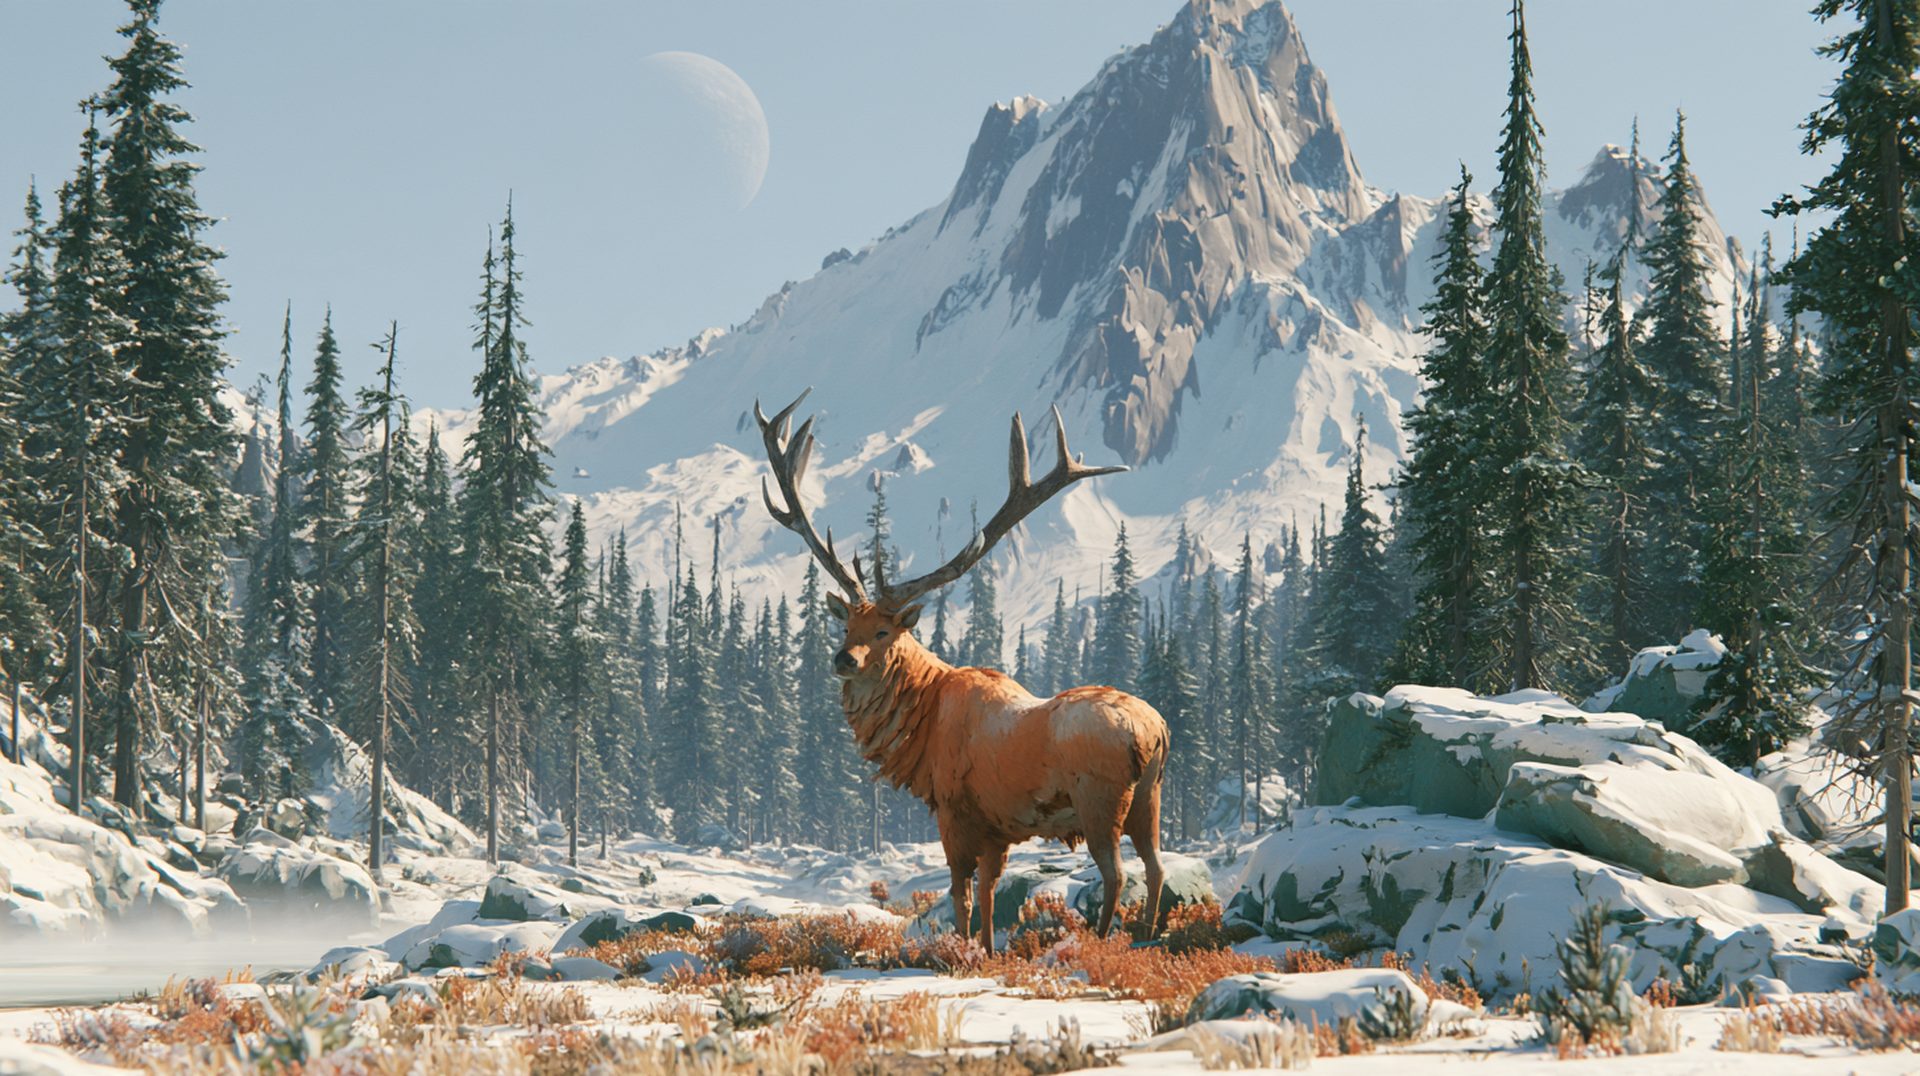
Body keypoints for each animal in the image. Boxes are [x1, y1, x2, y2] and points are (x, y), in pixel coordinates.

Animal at [753, 390, 1171, 952]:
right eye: (847, 626)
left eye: (884, 632)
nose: (844, 660)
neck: (923, 721)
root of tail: (1154, 732)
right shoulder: (998, 826)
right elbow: (991, 897)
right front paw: (991, 952)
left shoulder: (954, 809)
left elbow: (961, 897)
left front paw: (963, 952)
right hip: (1150, 799)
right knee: (1156, 867)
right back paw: (1146, 937)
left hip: (1100, 797)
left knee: (1117, 874)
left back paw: (1103, 940)